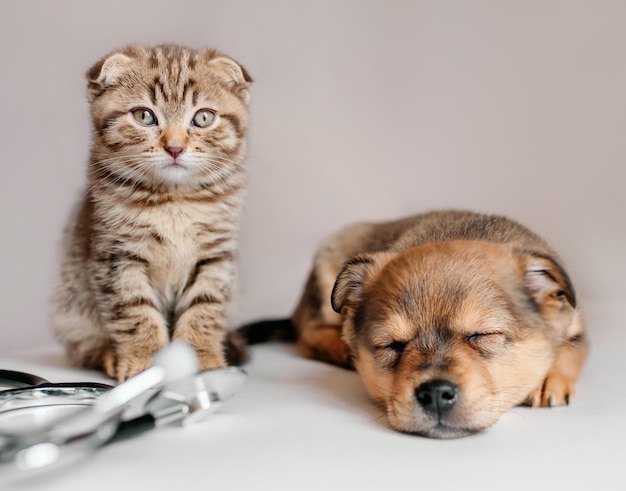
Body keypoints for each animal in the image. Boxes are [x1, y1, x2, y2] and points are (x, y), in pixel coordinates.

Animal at [51, 44, 251, 382]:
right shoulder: (117, 257)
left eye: (203, 117)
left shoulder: (215, 256)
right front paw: (145, 362)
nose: (175, 147)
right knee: (82, 346)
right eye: (144, 116)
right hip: (70, 307)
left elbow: (205, 307)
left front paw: (203, 358)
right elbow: (134, 310)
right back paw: (107, 354)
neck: (174, 200)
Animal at [239, 210, 584, 438]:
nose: (435, 394)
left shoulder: (576, 324)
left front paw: (546, 380)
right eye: (392, 345)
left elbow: (570, 350)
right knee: (308, 334)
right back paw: (340, 348)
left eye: (482, 335)